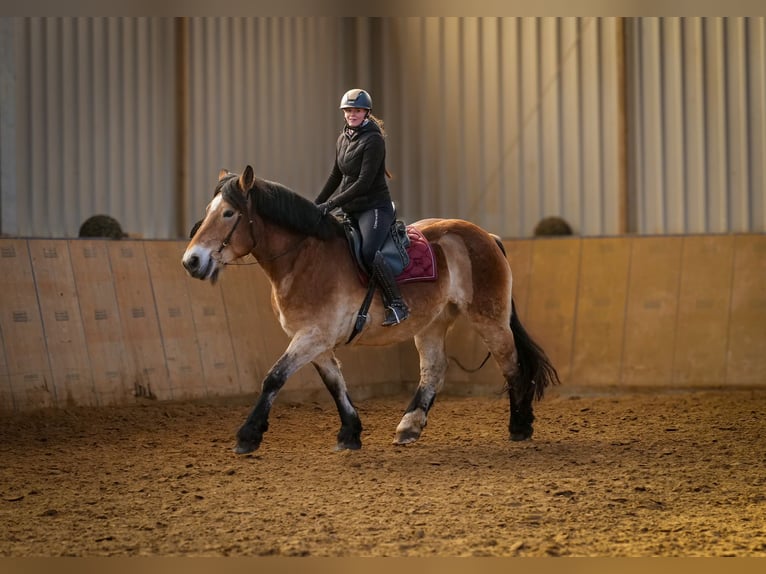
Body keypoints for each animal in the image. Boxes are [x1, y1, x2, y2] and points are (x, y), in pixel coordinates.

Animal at [183, 166, 560, 454]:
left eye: (228, 213)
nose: (191, 261)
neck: (304, 259)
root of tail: (486, 236)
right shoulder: (316, 340)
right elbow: (335, 384)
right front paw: (350, 433)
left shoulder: (312, 336)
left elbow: (274, 377)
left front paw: (248, 436)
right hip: (432, 323)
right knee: (434, 370)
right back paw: (409, 426)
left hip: (489, 318)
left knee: (511, 364)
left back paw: (520, 425)